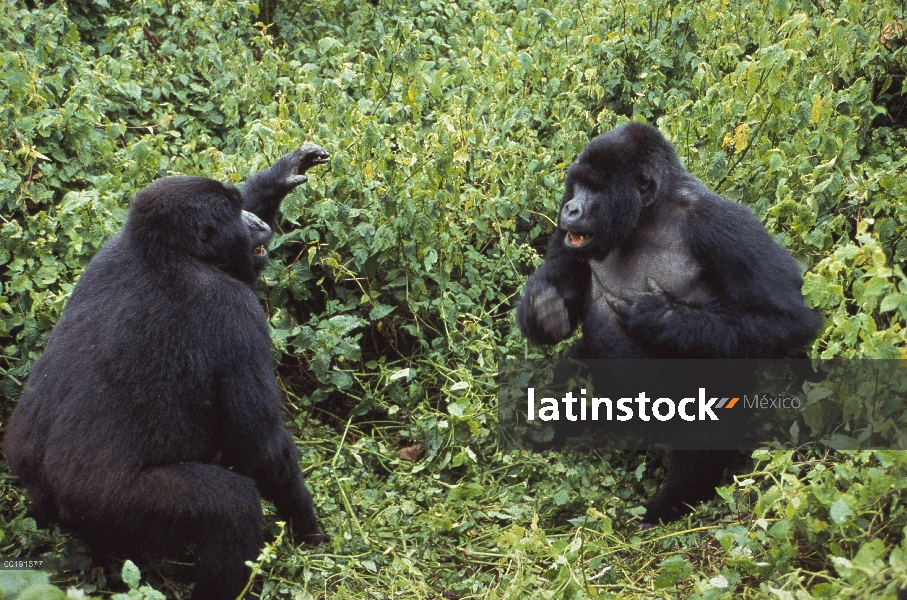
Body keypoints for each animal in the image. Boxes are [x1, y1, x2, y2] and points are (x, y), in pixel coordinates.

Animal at [4, 144, 330, 600]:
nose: (256, 222)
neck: (169, 253)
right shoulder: (235, 312)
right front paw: (306, 525)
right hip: (114, 505)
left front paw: (279, 176)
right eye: (233, 214)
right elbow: (258, 448)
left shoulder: (110, 247)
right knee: (232, 506)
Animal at [516, 123, 824, 524]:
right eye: (578, 185)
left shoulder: (721, 223)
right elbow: (560, 280)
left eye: (595, 189)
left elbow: (790, 318)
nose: (570, 207)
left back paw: (672, 501)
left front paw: (657, 317)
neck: (647, 216)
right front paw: (544, 308)